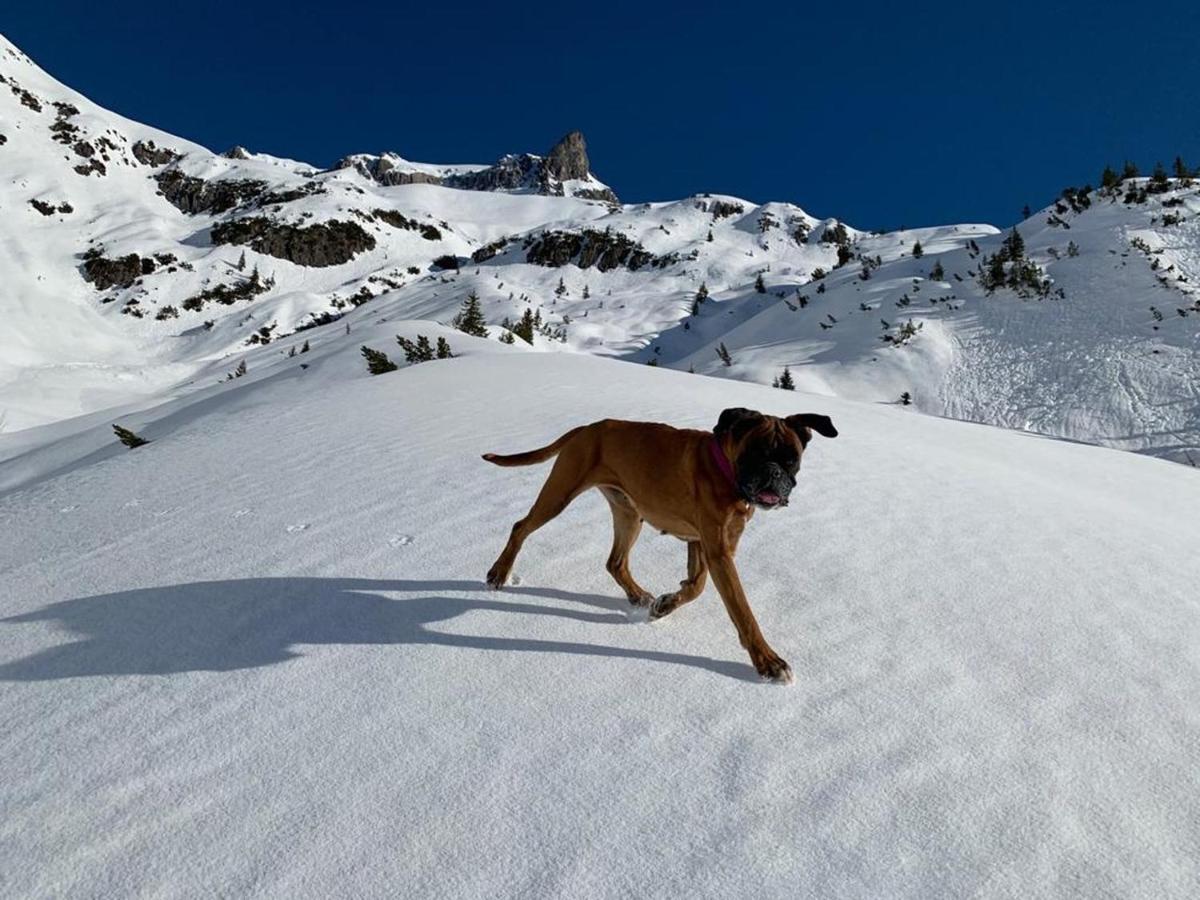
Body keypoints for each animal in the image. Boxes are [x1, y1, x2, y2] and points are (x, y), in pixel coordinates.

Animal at [482, 408, 840, 681]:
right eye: (755, 454)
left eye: (791, 459)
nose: (773, 472)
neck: (726, 470)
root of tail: (586, 429)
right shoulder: (718, 552)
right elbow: (742, 610)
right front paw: (768, 661)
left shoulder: (704, 544)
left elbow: (696, 586)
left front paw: (665, 605)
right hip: (559, 494)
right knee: (520, 527)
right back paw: (499, 572)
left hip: (628, 513)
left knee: (615, 562)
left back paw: (638, 595)